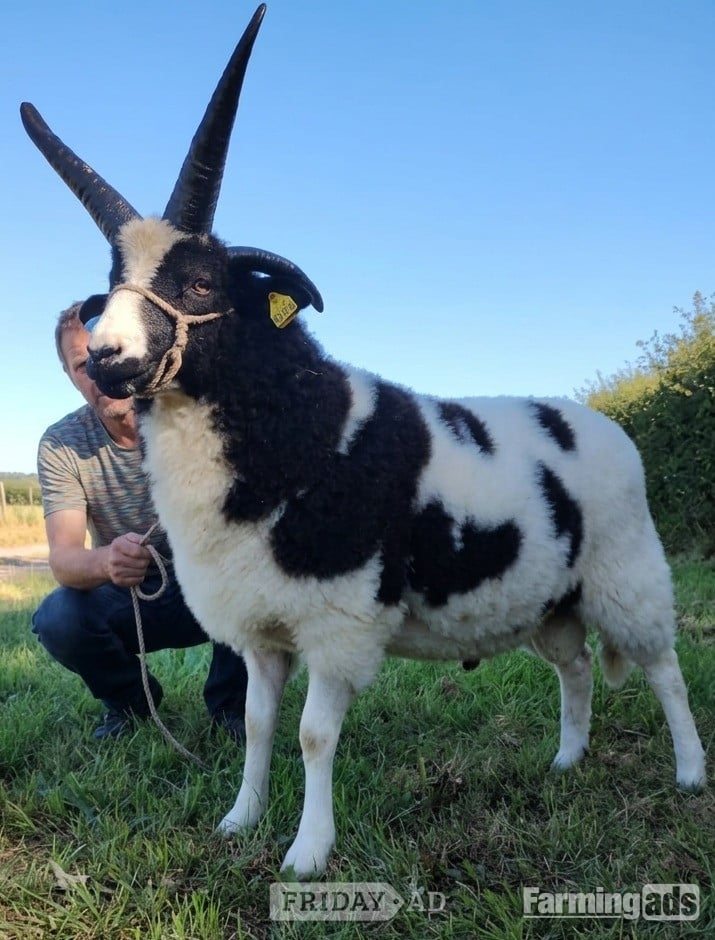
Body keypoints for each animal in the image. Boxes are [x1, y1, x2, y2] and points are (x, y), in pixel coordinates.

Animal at [21, 3, 705, 878]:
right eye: (111, 284)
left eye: (202, 282)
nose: (106, 359)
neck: (297, 426)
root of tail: (595, 419)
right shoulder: (260, 631)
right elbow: (257, 725)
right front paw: (239, 821)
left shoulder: (337, 623)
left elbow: (314, 736)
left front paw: (307, 855)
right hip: (550, 598)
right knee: (577, 668)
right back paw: (564, 761)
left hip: (629, 576)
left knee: (664, 670)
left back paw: (687, 773)